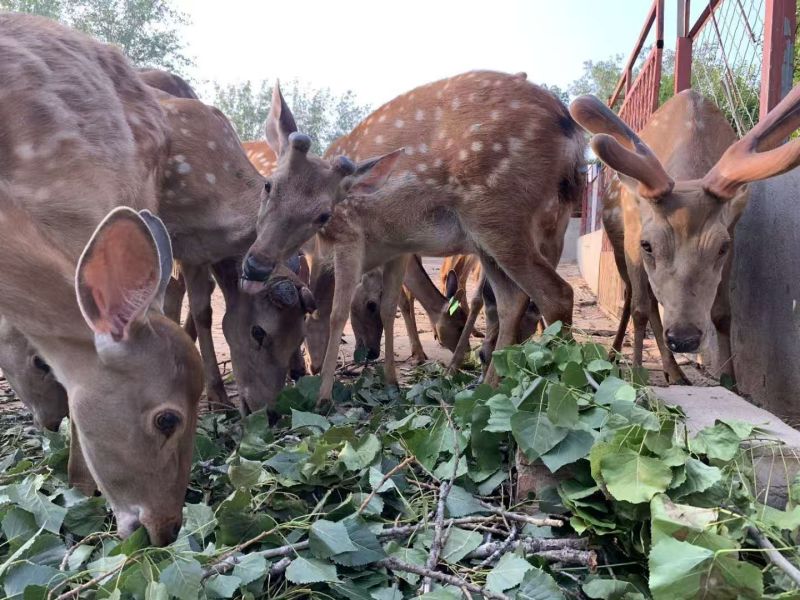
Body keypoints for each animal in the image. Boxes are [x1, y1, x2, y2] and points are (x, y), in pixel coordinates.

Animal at [242, 71, 585, 404]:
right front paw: (391, 383)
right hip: (489, 238)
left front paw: (323, 397)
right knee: (510, 300)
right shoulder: (395, 248)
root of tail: (571, 130)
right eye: (268, 185)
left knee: (556, 294)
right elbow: (390, 306)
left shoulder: (351, 235)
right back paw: (486, 390)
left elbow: (337, 312)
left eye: (324, 214)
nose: (256, 264)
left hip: (500, 215)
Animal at [569, 86, 800, 386]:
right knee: (633, 296)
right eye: (647, 244)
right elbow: (641, 308)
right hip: (616, 243)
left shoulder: (733, 231)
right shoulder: (633, 233)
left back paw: (675, 372)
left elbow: (722, 311)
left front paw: (731, 381)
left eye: (721, 247)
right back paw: (617, 355)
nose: (683, 339)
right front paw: (637, 377)